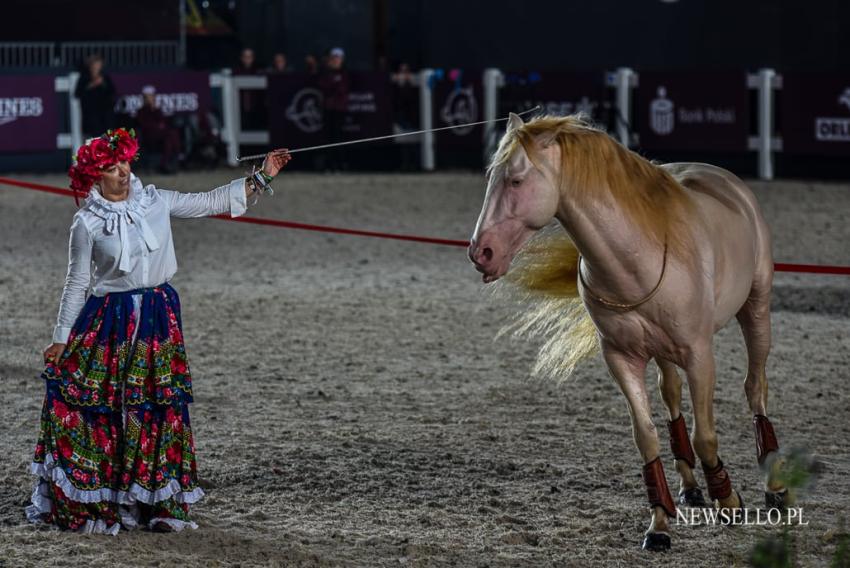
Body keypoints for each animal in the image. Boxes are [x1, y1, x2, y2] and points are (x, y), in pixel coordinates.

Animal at [468, 113, 784, 552]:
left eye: (515, 180)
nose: (481, 252)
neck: (636, 257)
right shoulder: (621, 358)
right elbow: (647, 437)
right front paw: (660, 524)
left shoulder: (699, 356)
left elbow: (706, 435)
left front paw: (729, 501)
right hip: (663, 353)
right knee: (671, 397)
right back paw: (690, 487)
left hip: (756, 307)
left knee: (755, 386)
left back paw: (773, 486)